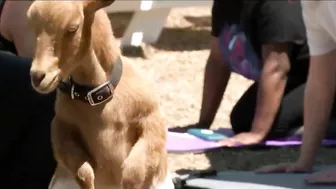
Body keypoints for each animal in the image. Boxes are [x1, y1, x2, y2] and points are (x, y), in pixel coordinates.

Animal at [26, 0, 173, 188]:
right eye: (32, 27)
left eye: (73, 28)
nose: (37, 77)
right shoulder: (61, 126)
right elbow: (83, 171)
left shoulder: (152, 121)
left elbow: (134, 171)